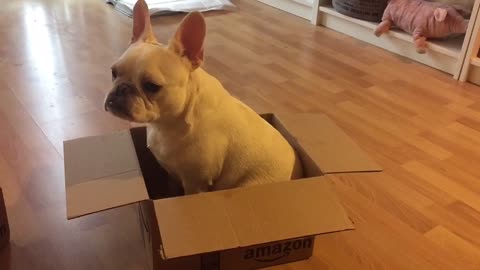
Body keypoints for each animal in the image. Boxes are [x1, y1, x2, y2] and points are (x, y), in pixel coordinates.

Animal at [104, 0, 302, 194]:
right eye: (114, 73)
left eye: (151, 86)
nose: (121, 88)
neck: (167, 123)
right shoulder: (171, 174)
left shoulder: (196, 182)